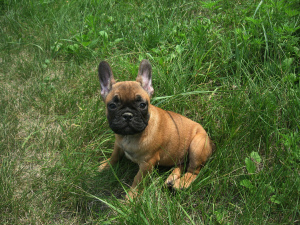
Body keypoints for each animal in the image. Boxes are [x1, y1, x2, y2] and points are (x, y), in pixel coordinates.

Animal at [98, 59, 213, 199]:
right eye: (112, 106)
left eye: (142, 105)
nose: (127, 115)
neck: (130, 136)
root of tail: (209, 139)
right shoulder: (118, 145)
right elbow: (114, 156)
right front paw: (106, 165)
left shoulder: (147, 164)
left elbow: (137, 180)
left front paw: (131, 197)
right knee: (181, 164)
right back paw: (171, 178)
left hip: (197, 145)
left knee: (193, 171)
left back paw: (181, 183)